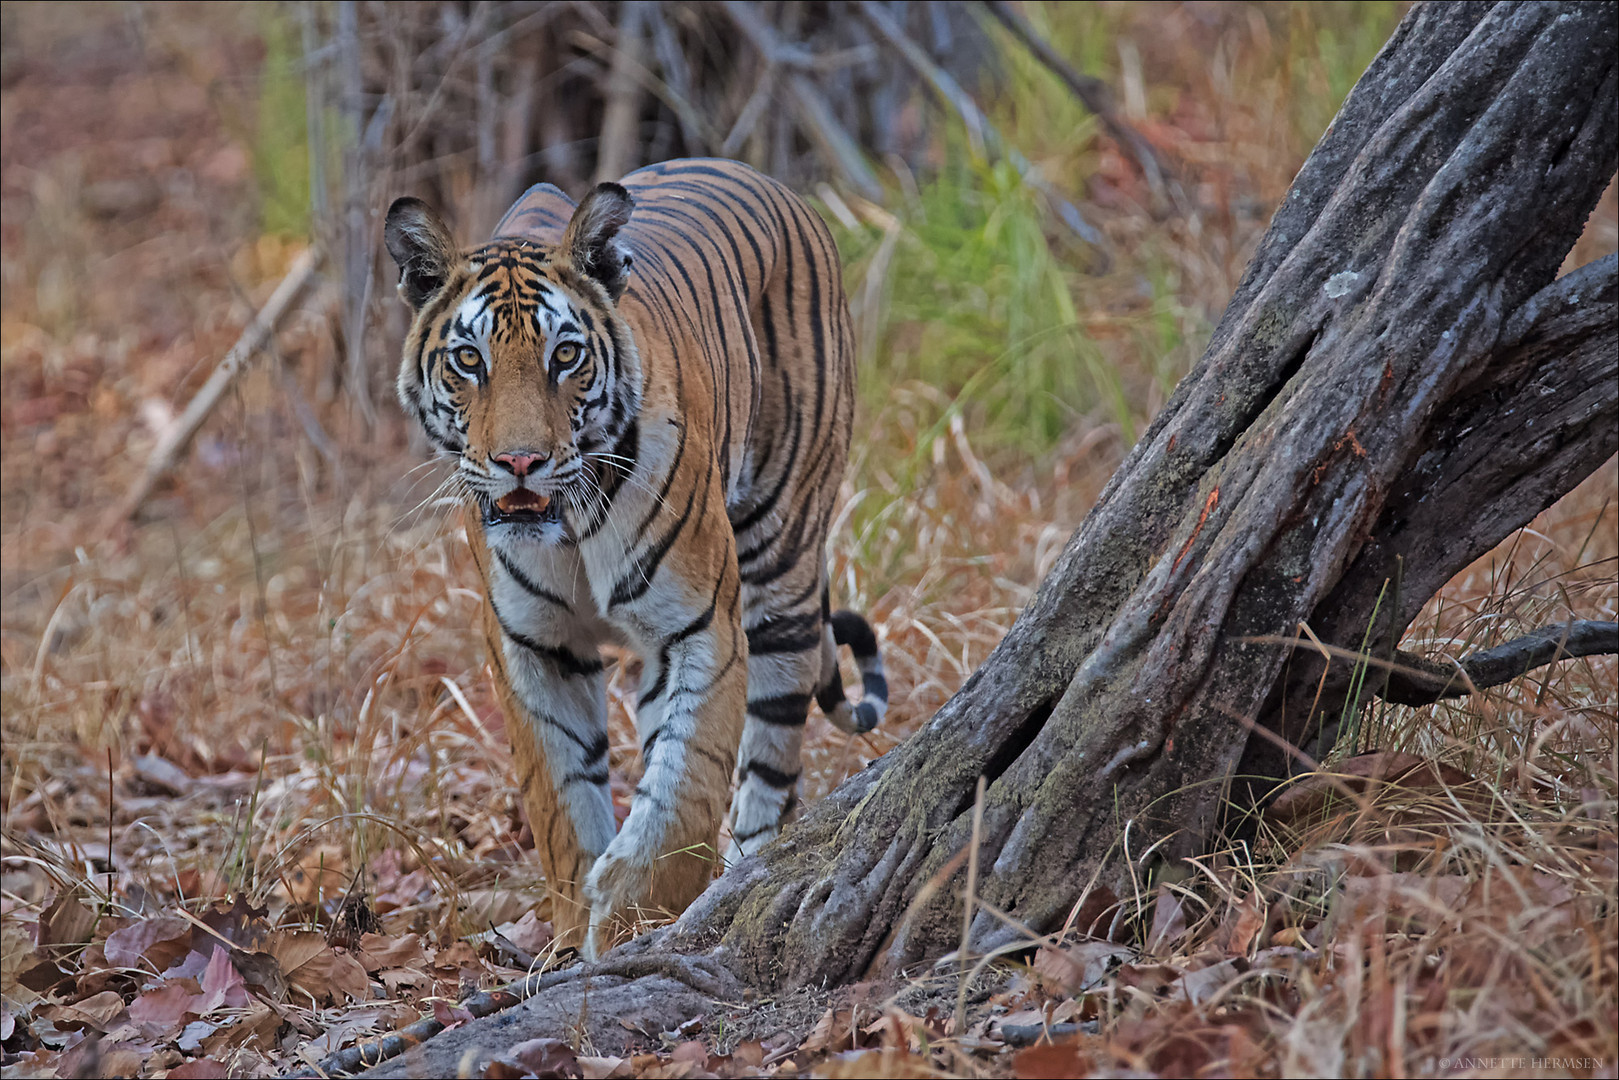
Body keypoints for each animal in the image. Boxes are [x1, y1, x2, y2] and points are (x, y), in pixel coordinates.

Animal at [386, 158, 893, 952]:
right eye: (469, 361)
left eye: (565, 355)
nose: (520, 463)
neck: (567, 526)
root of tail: (774, 184)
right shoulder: (532, 644)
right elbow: (560, 800)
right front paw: (573, 934)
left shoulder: (700, 625)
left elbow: (686, 785)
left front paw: (635, 915)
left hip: (780, 559)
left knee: (771, 761)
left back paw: (745, 874)